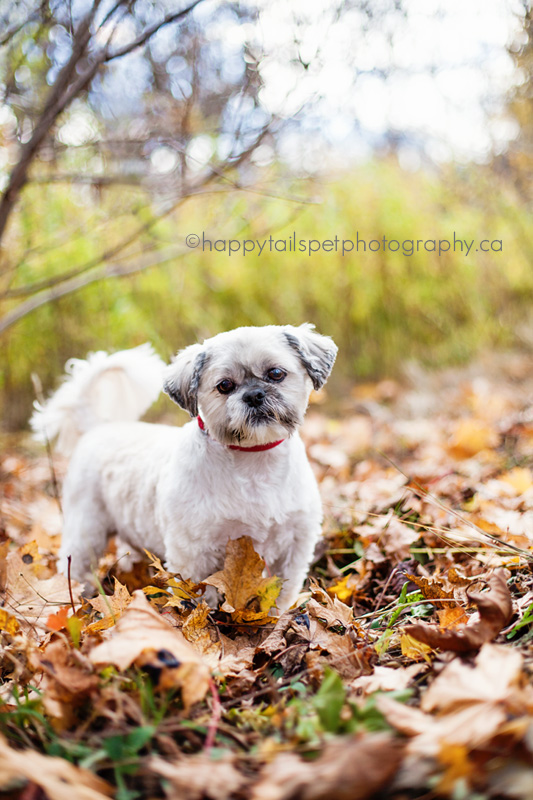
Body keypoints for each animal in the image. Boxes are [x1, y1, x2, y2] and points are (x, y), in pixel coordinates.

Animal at [31, 322, 336, 608]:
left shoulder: (295, 545)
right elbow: (196, 599)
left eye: (276, 374)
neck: (253, 461)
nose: (254, 395)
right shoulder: (192, 553)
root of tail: (95, 427)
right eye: (225, 386)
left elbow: (280, 595)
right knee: (76, 567)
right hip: (86, 530)